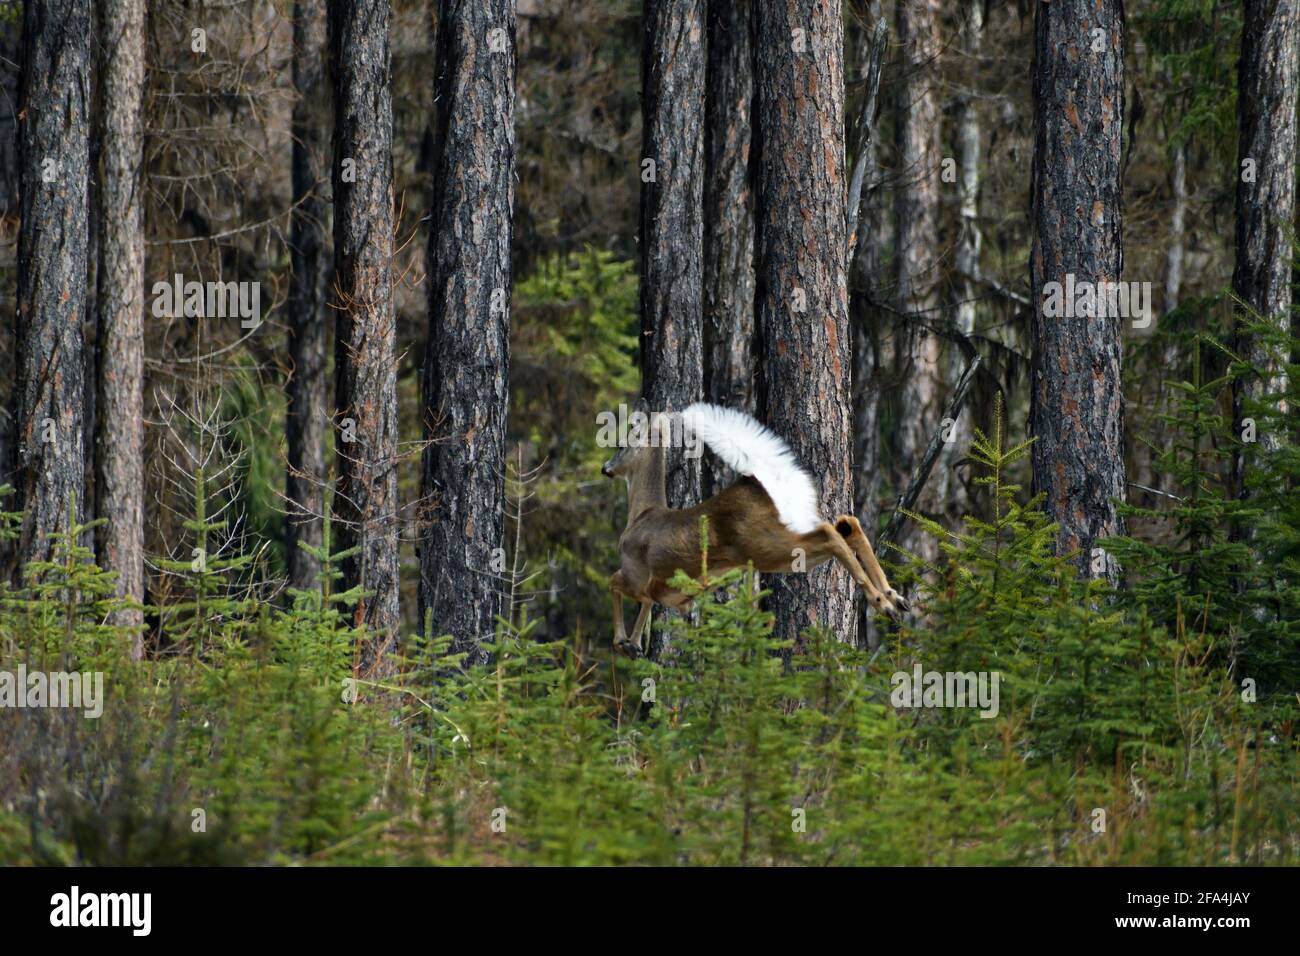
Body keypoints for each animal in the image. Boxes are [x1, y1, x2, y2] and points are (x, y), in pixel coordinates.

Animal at [598, 403, 904, 658]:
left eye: (621, 446)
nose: (605, 468)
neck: (641, 515)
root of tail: (764, 480)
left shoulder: (637, 573)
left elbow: (613, 581)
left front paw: (621, 641)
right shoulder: (665, 592)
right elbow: (646, 603)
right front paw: (634, 643)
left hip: (765, 545)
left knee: (831, 533)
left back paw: (882, 602)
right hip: (788, 539)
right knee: (847, 525)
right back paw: (895, 598)